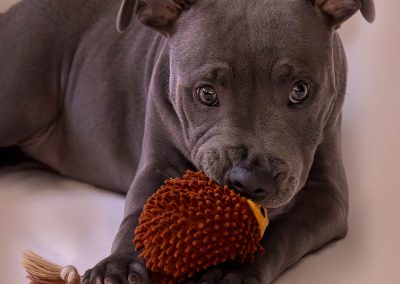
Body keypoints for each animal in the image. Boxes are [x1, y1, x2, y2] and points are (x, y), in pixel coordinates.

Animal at [0, 0, 376, 282]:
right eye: (206, 93)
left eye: (300, 91)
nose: (251, 180)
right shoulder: (157, 163)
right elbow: (139, 209)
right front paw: (118, 267)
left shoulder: (327, 195)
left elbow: (286, 230)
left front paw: (232, 269)